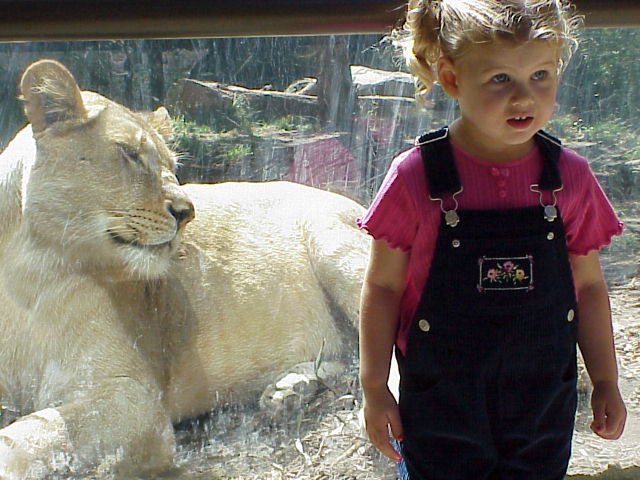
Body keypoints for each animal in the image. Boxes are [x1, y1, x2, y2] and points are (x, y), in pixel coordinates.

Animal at [0, 58, 370, 478]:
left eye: (172, 165)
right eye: (130, 153)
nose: (187, 212)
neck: (26, 270)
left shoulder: (133, 398)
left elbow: (33, 434)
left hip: (332, 240)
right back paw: (287, 390)